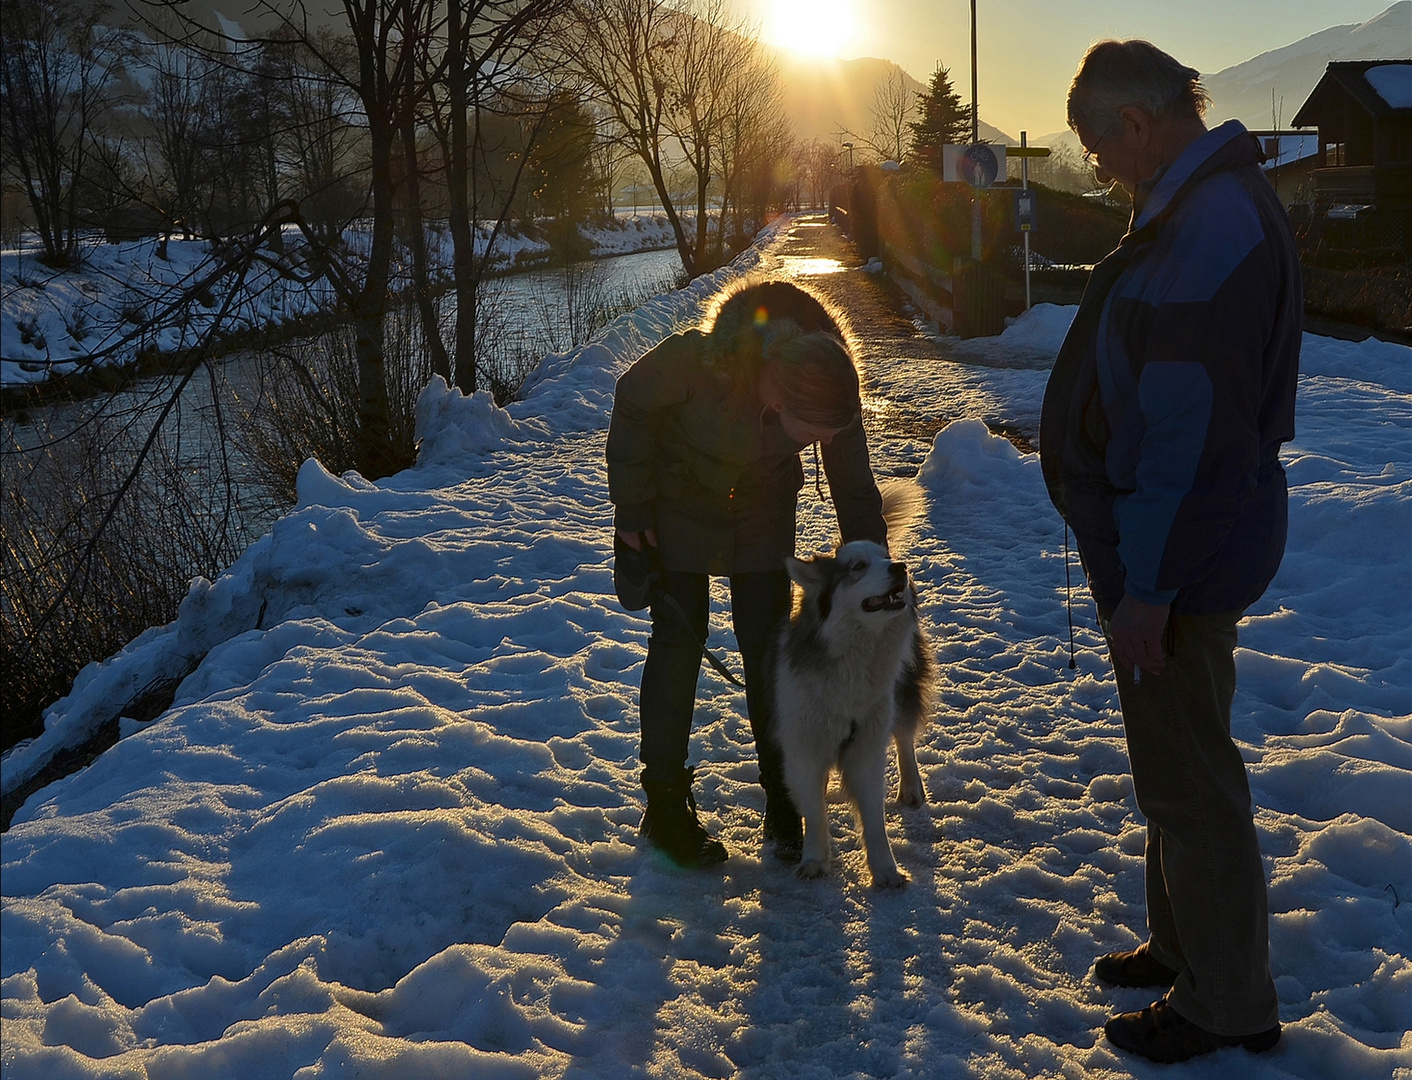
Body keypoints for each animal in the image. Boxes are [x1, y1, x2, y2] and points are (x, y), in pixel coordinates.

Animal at [768, 480, 931, 886]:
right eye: (857, 567)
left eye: (883, 557)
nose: (900, 567)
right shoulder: (803, 746)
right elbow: (813, 810)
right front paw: (814, 859)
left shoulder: (867, 746)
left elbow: (873, 816)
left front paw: (886, 869)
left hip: (902, 689)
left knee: (905, 737)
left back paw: (911, 786)